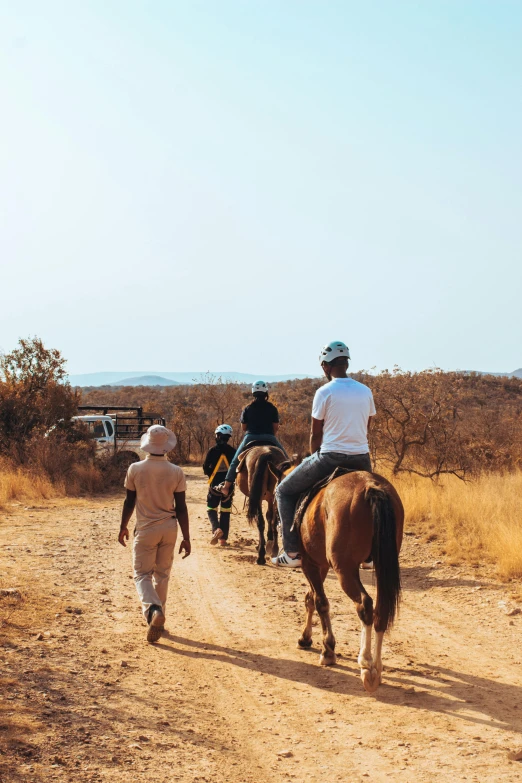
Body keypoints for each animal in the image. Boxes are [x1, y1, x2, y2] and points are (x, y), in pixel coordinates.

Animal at [294, 468, 400, 696]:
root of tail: (370, 486)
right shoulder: (321, 565)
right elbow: (310, 598)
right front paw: (306, 638)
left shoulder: (309, 562)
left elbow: (320, 602)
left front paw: (327, 650)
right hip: (383, 564)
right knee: (380, 611)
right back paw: (377, 668)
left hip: (344, 569)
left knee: (364, 605)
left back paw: (366, 664)